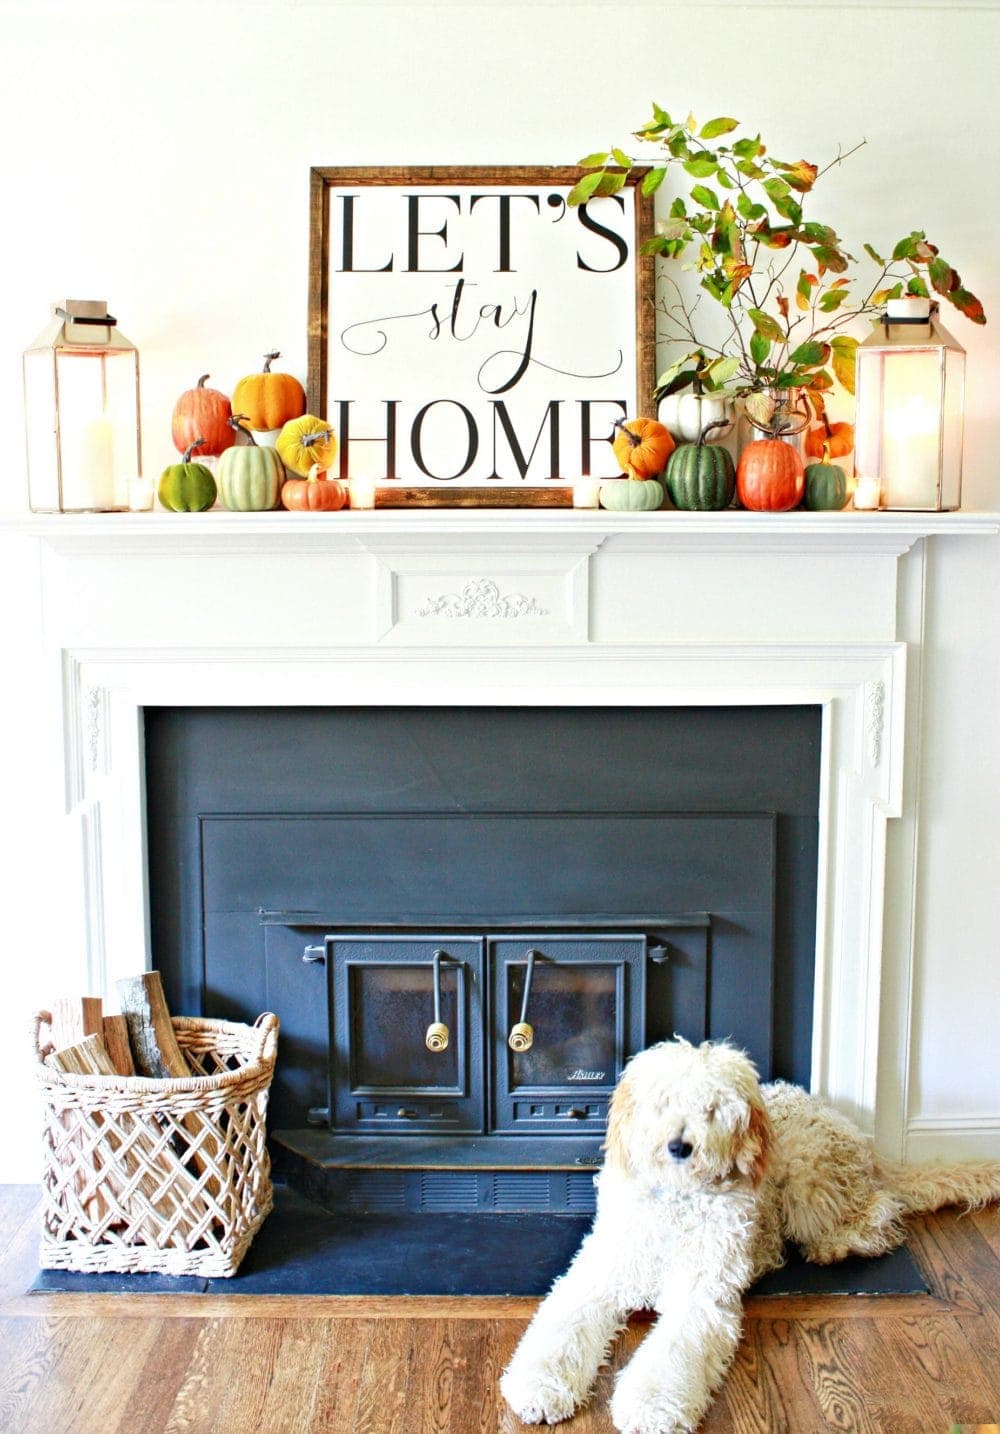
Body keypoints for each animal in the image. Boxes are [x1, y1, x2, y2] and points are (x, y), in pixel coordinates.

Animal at [502, 1043, 998, 1434]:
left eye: (712, 1109)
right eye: (663, 1101)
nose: (679, 1146)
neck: (677, 1202)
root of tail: (858, 1134)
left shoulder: (700, 1299)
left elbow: (669, 1357)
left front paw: (649, 1407)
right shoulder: (597, 1277)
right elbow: (558, 1333)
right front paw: (538, 1386)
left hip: (808, 1182)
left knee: (881, 1210)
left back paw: (836, 1244)